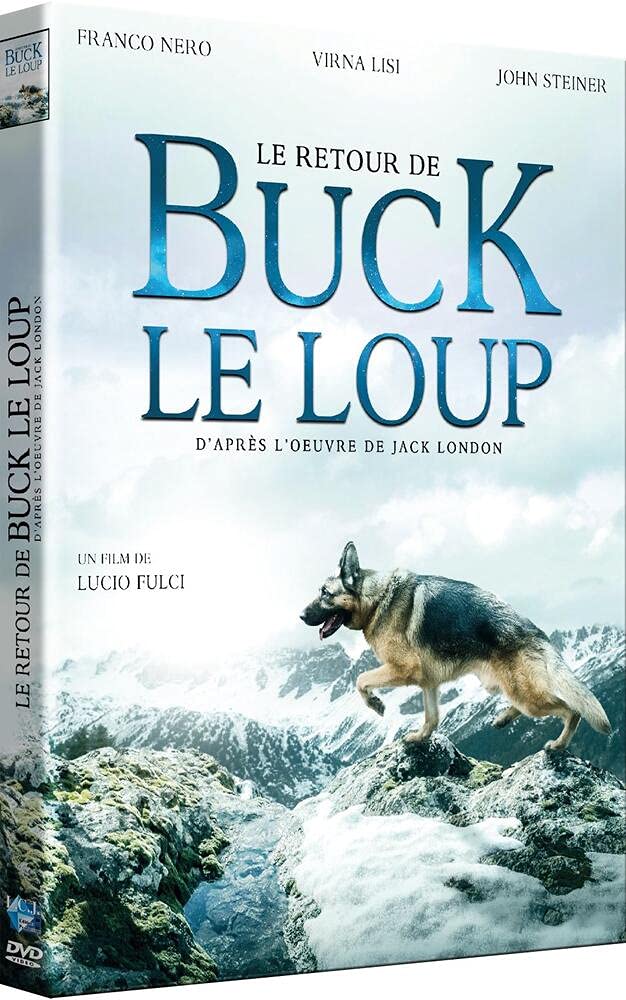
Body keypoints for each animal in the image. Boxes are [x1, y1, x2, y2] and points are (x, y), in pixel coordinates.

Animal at [300, 542, 611, 750]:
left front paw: (376, 703)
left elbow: (361, 679)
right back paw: (503, 718)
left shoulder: (402, 668)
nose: (301, 616)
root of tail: (536, 631)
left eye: (325, 594)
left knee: (572, 710)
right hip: (504, 686)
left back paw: (558, 744)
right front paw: (420, 738)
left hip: (526, 695)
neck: (376, 599)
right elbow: (432, 718)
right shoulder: (428, 683)